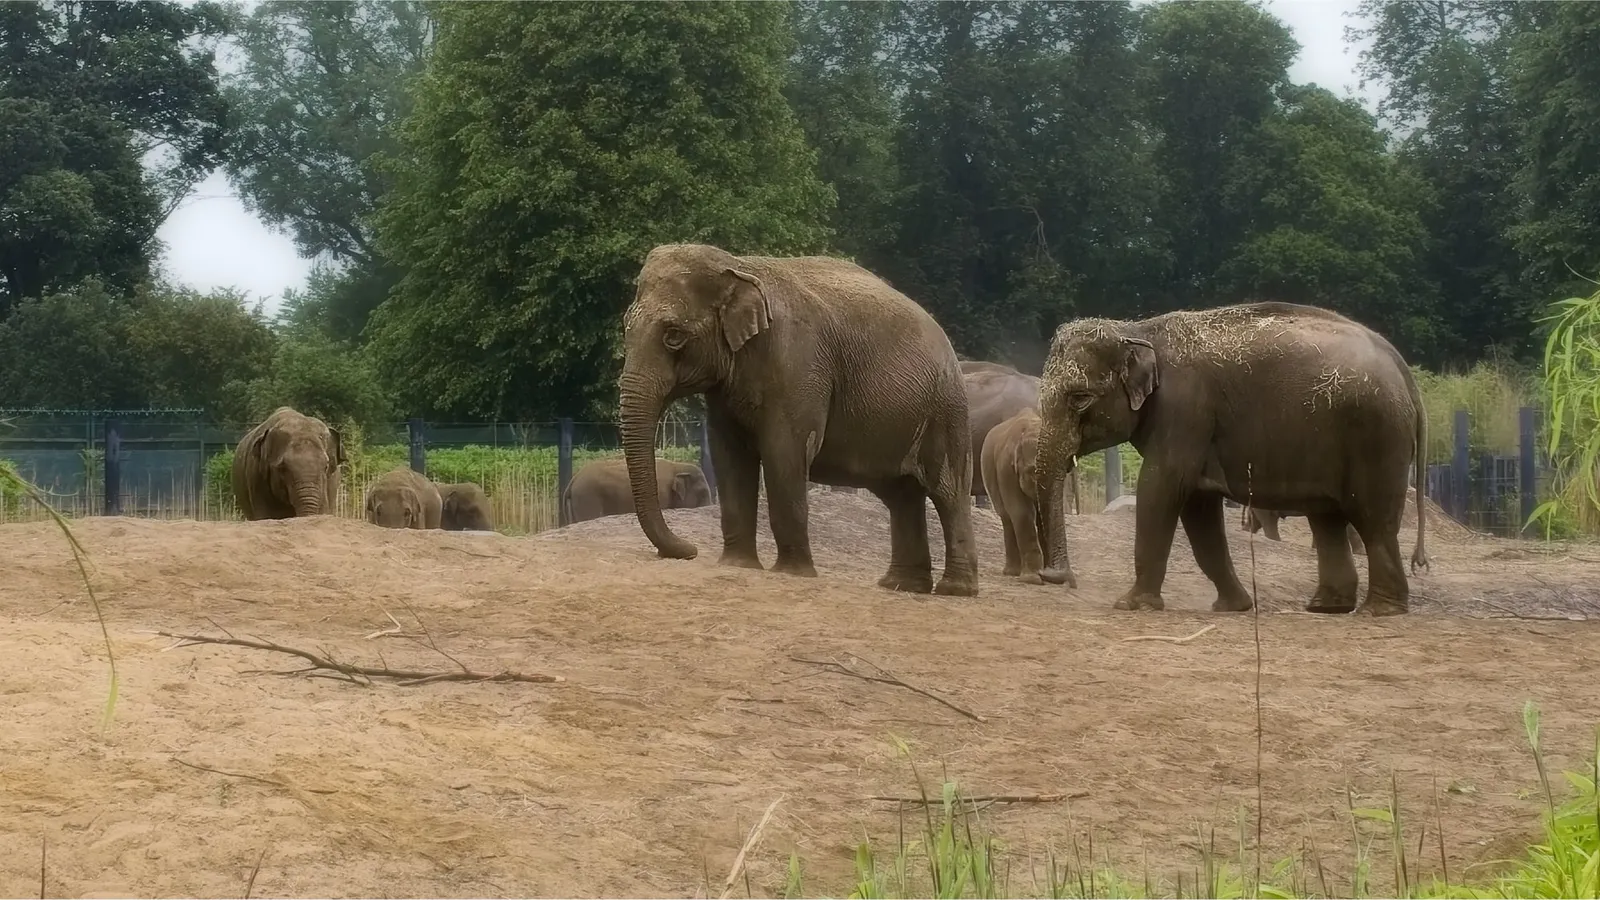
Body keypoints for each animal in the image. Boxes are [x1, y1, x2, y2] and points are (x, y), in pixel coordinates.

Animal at [618, 242, 980, 596]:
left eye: (673, 335)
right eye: (625, 328)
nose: (690, 550)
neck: (738, 265)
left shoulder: (798, 365)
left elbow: (785, 453)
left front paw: (793, 572)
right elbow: (730, 457)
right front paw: (738, 564)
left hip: (946, 410)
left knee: (948, 491)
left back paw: (954, 590)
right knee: (901, 495)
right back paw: (901, 585)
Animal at [979, 407, 1075, 586]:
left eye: (1065, 470)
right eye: (1033, 472)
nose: (1072, 584)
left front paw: (1045, 574)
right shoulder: (1005, 468)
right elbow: (1021, 512)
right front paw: (1033, 579)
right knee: (1007, 517)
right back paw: (1012, 572)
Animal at [1034, 301, 1429, 617]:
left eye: (1079, 398)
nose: (1053, 576)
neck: (1136, 331)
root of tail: (1404, 371)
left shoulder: (1185, 411)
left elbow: (1161, 489)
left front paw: (1130, 605)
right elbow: (1198, 508)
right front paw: (1233, 606)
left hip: (1377, 437)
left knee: (1373, 519)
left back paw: (1379, 610)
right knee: (1327, 518)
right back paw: (1327, 607)